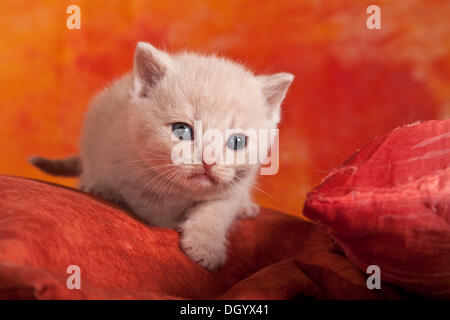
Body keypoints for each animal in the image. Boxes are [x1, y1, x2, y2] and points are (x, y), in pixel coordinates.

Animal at [29, 41, 294, 268]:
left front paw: (205, 246)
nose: (208, 161)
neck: (183, 192)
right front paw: (172, 224)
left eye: (237, 141)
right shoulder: (127, 172)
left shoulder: (232, 189)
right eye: (182, 130)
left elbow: (215, 212)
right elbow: (154, 208)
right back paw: (98, 187)